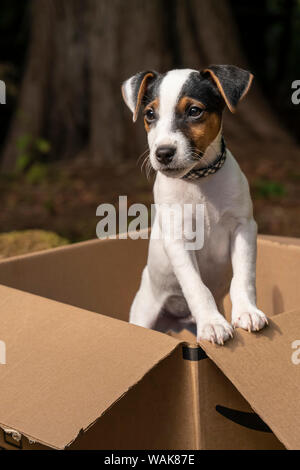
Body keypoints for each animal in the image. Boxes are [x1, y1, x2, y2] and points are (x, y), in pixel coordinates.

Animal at [120, 65, 268, 346]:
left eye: (194, 111)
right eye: (150, 114)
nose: (163, 153)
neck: (199, 180)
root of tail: (178, 322)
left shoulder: (244, 228)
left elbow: (244, 276)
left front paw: (247, 311)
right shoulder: (178, 240)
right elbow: (197, 287)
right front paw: (212, 323)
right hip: (144, 313)